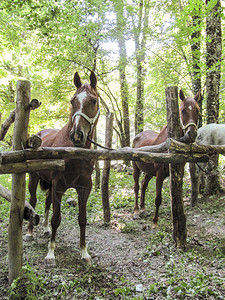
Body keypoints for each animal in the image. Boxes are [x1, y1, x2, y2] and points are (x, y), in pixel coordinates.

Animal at [25, 71, 99, 266]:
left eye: (93, 101)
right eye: (72, 101)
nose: (77, 135)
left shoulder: (84, 187)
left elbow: (82, 219)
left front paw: (84, 252)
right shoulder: (59, 185)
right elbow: (56, 219)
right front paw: (51, 254)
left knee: (47, 201)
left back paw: (44, 229)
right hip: (34, 178)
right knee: (33, 201)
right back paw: (29, 232)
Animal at [133, 89, 200, 227]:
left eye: (197, 110)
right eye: (182, 110)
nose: (191, 134)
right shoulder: (159, 174)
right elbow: (158, 198)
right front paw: (155, 222)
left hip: (149, 172)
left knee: (143, 185)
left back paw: (143, 208)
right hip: (136, 168)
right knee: (136, 186)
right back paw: (136, 211)